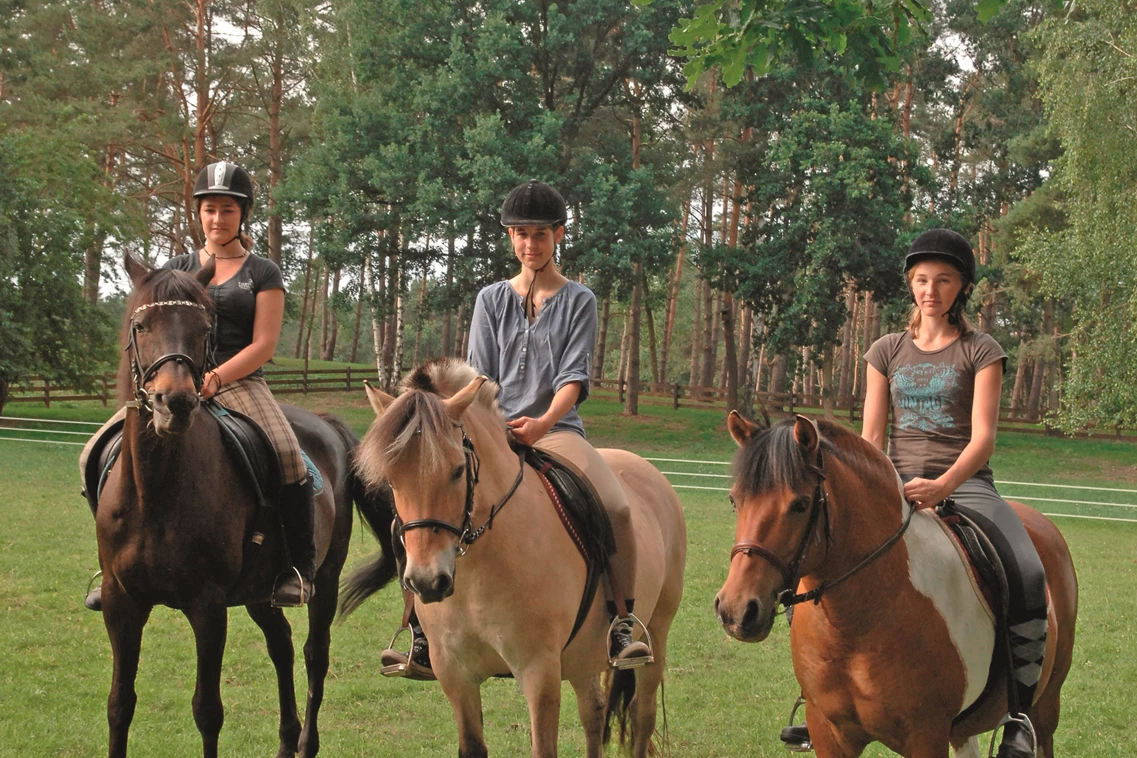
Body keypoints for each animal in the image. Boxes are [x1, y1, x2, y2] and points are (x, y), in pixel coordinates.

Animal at [93, 256, 397, 758]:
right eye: (140, 325)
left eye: (204, 328)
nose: (175, 402)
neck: (156, 493)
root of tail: (327, 424)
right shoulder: (121, 603)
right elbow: (119, 704)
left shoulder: (208, 606)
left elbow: (207, 710)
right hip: (260, 591)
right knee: (283, 646)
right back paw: (288, 739)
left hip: (324, 579)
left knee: (314, 655)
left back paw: (306, 743)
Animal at [341, 361, 686, 758]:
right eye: (392, 480)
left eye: (457, 470)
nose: (428, 582)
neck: (478, 571)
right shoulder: (455, 674)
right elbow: (473, 746)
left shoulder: (540, 672)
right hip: (583, 655)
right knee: (594, 713)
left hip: (656, 633)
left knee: (642, 716)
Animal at [714, 415, 1077, 758]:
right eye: (734, 500)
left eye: (801, 504)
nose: (736, 609)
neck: (857, 624)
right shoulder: (829, 733)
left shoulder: (926, 736)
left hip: (1047, 704)